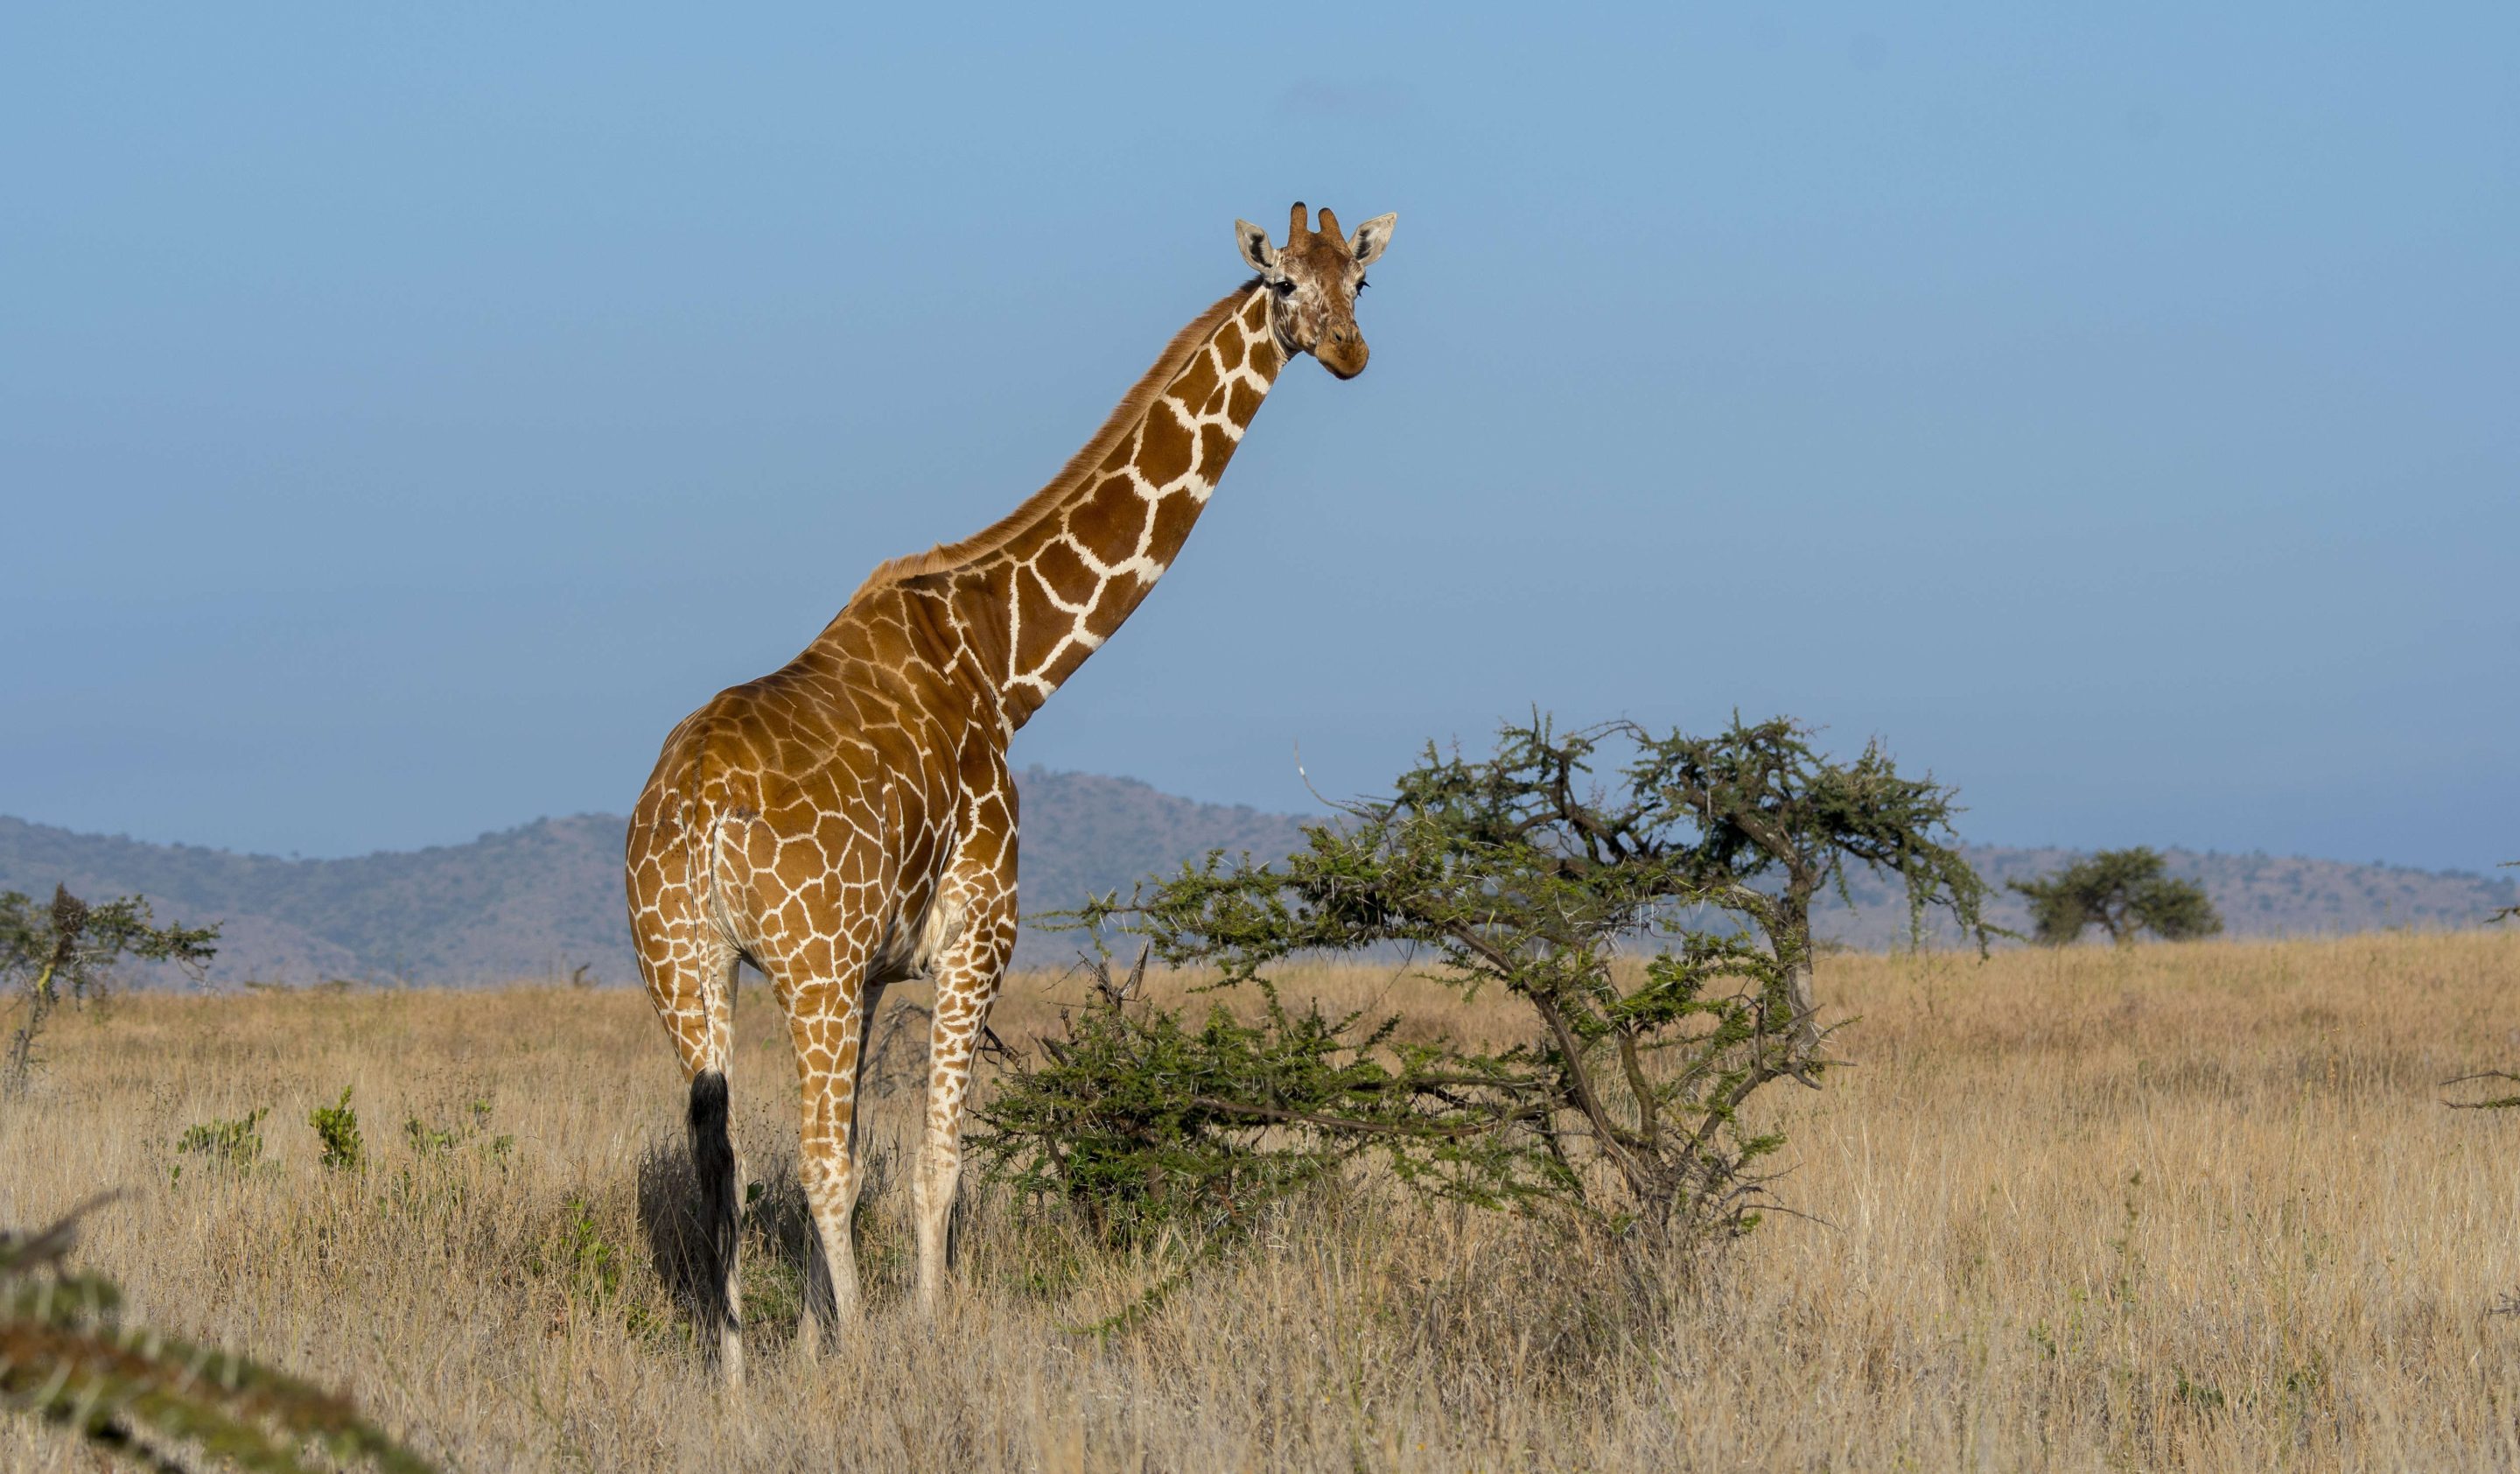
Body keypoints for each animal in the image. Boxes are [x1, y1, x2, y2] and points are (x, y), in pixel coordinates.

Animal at [625, 202, 1397, 1380]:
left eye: (1361, 279)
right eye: (1283, 286)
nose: (1351, 352)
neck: (1004, 660)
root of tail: (698, 810)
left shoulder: (873, 970)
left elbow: (865, 1147)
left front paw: (816, 1341)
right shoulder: (976, 931)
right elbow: (936, 1159)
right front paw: (914, 1336)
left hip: (688, 960)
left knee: (726, 1164)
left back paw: (735, 1374)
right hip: (800, 964)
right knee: (808, 1160)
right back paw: (847, 1350)